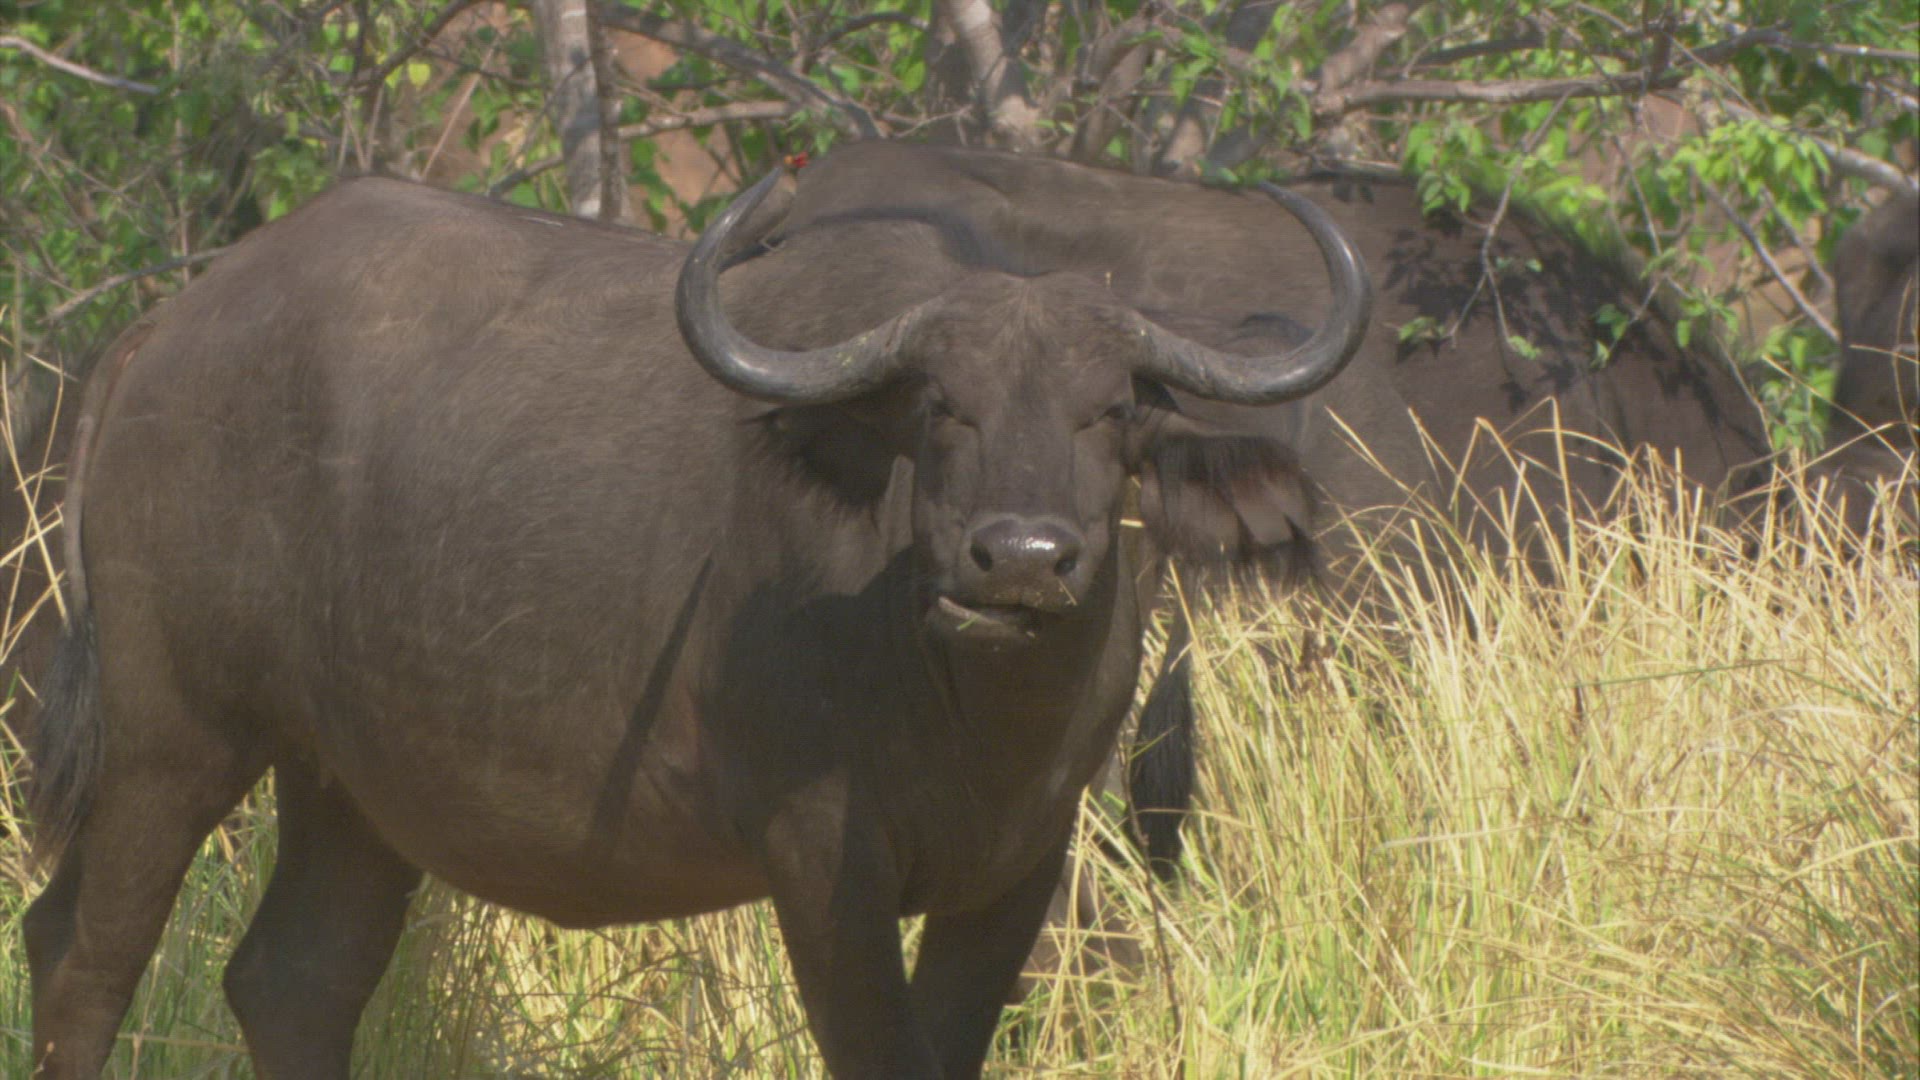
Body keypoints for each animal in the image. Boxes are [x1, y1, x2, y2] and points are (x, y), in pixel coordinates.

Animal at [20, 156, 1370, 1077]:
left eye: (1119, 411)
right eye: (942, 407)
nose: (1023, 559)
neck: (970, 711)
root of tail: (166, 331)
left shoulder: (1018, 870)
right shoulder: (822, 861)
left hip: (350, 783)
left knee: (296, 980)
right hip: (172, 737)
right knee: (79, 953)